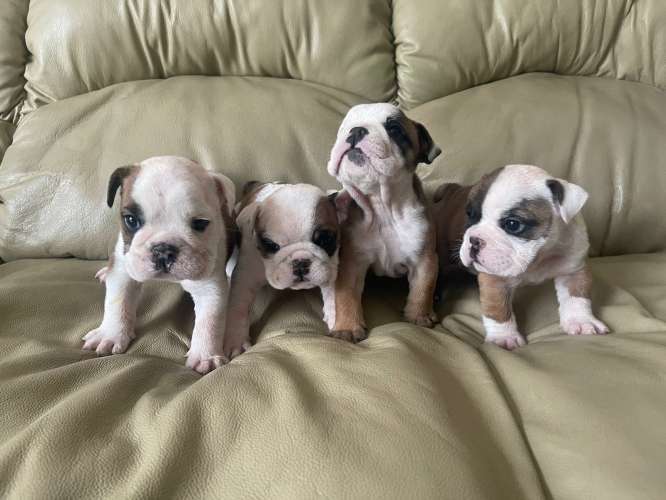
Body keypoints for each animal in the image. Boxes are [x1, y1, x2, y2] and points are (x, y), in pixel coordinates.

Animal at [82, 156, 236, 374]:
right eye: (131, 220)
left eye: (200, 223)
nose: (163, 250)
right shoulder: (123, 271)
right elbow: (118, 303)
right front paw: (111, 335)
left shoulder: (210, 287)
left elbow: (209, 321)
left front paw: (205, 356)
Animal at [222, 182, 343, 359]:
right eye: (271, 245)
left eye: (324, 239)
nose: (300, 262)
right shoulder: (245, 278)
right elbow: (238, 308)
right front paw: (235, 341)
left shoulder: (331, 267)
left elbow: (333, 291)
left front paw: (337, 316)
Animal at [322, 103, 442, 342]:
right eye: (344, 127)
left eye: (394, 129)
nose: (356, 130)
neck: (382, 206)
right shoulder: (351, 264)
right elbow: (346, 296)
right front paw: (347, 328)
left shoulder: (424, 260)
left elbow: (422, 289)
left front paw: (419, 316)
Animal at [433, 164, 609, 350]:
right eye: (470, 215)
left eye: (513, 224)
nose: (474, 240)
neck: (538, 258)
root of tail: (453, 189)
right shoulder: (495, 280)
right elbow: (498, 309)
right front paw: (504, 337)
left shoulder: (572, 270)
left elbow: (576, 298)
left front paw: (581, 321)